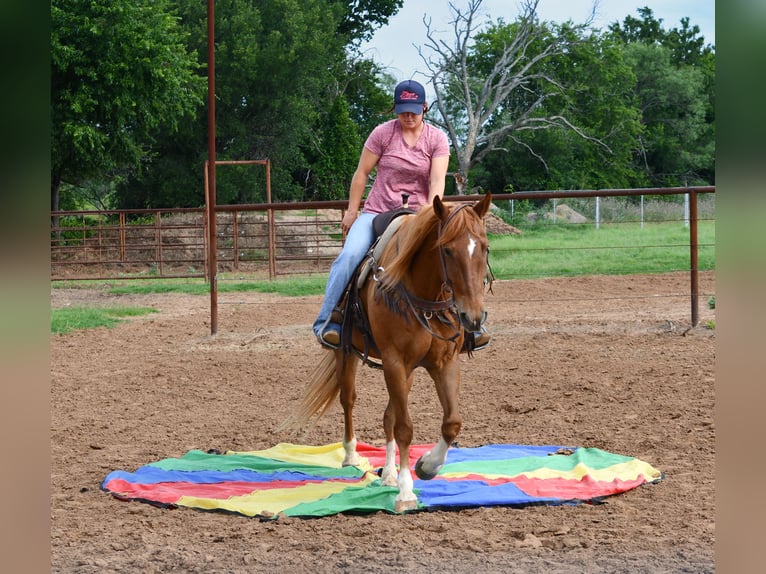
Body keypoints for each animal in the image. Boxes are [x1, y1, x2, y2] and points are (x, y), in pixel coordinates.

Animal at [284, 193, 492, 512]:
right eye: (446, 250)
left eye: (484, 247)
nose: (474, 317)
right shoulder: (395, 361)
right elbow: (405, 427)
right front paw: (406, 492)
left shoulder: (443, 363)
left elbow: (451, 422)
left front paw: (427, 466)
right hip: (347, 354)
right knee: (348, 399)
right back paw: (351, 456)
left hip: (404, 372)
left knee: (389, 416)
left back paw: (389, 475)